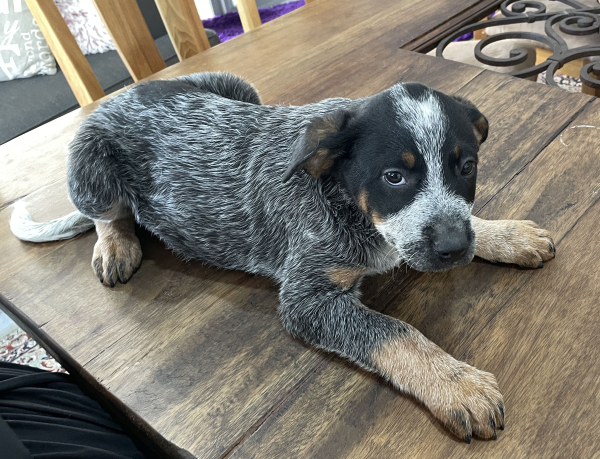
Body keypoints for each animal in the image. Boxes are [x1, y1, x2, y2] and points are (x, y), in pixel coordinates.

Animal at [11, 73, 556, 444]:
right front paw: (456, 384)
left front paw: (505, 234)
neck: (346, 200)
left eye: (467, 167)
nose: (451, 249)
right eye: (394, 178)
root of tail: (119, 96)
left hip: (238, 88)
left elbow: (468, 222)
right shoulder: (307, 299)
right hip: (89, 163)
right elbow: (395, 332)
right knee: (105, 212)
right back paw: (115, 243)